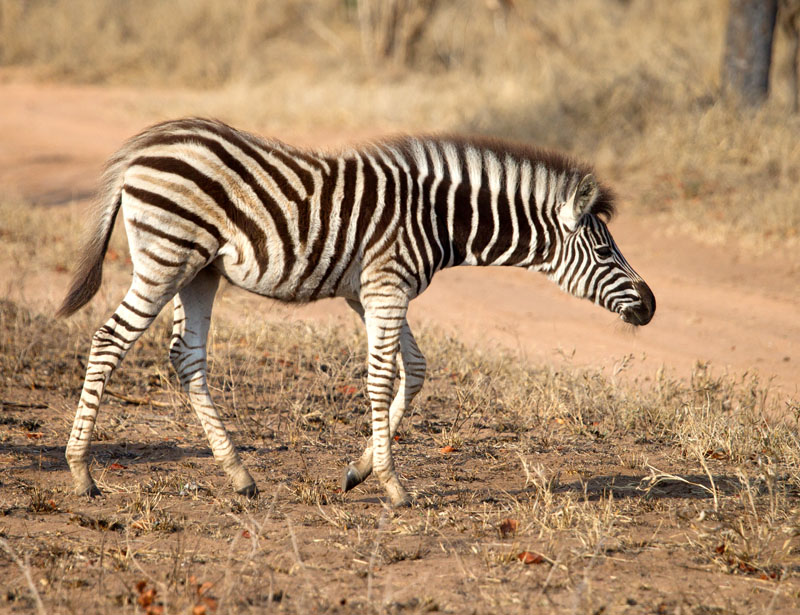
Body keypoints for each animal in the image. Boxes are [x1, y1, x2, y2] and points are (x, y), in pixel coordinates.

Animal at [57, 118, 656, 508]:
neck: (437, 218)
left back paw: (239, 475)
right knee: (110, 340)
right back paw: (82, 473)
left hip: (199, 272)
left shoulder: (373, 291)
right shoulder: (386, 287)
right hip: (167, 257)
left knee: (187, 356)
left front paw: (359, 470)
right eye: (605, 252)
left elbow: (414, 370)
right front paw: (392, 485)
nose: (651, 307)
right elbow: (380, 377)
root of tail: (145, 144)